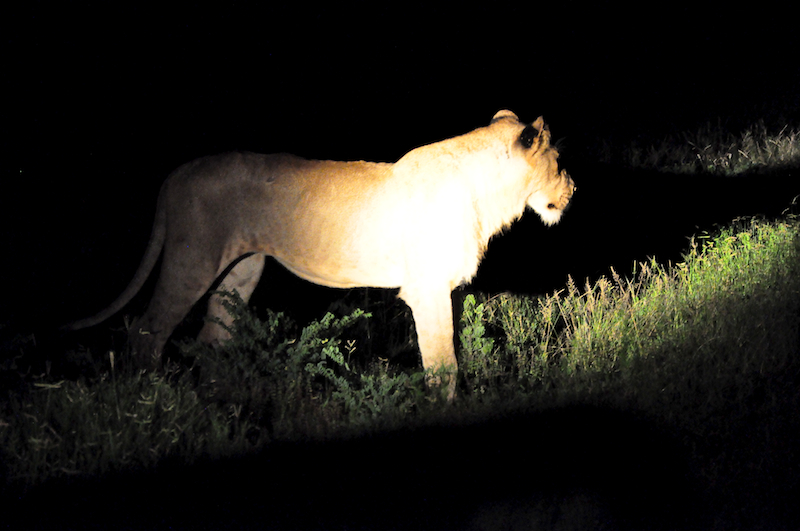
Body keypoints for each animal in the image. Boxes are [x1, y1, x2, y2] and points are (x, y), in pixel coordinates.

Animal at [65, 110, 575, 399]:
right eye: (558, 162)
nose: (573, 188)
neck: (491, 195)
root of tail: (175, 174)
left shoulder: (443, 289)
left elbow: (444, 358)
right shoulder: (427, 290)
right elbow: (441, 364)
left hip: (242, 270)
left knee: (212, 336)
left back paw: (221, 406)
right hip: (193, 259)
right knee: (147, 330)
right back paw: (148, 398)